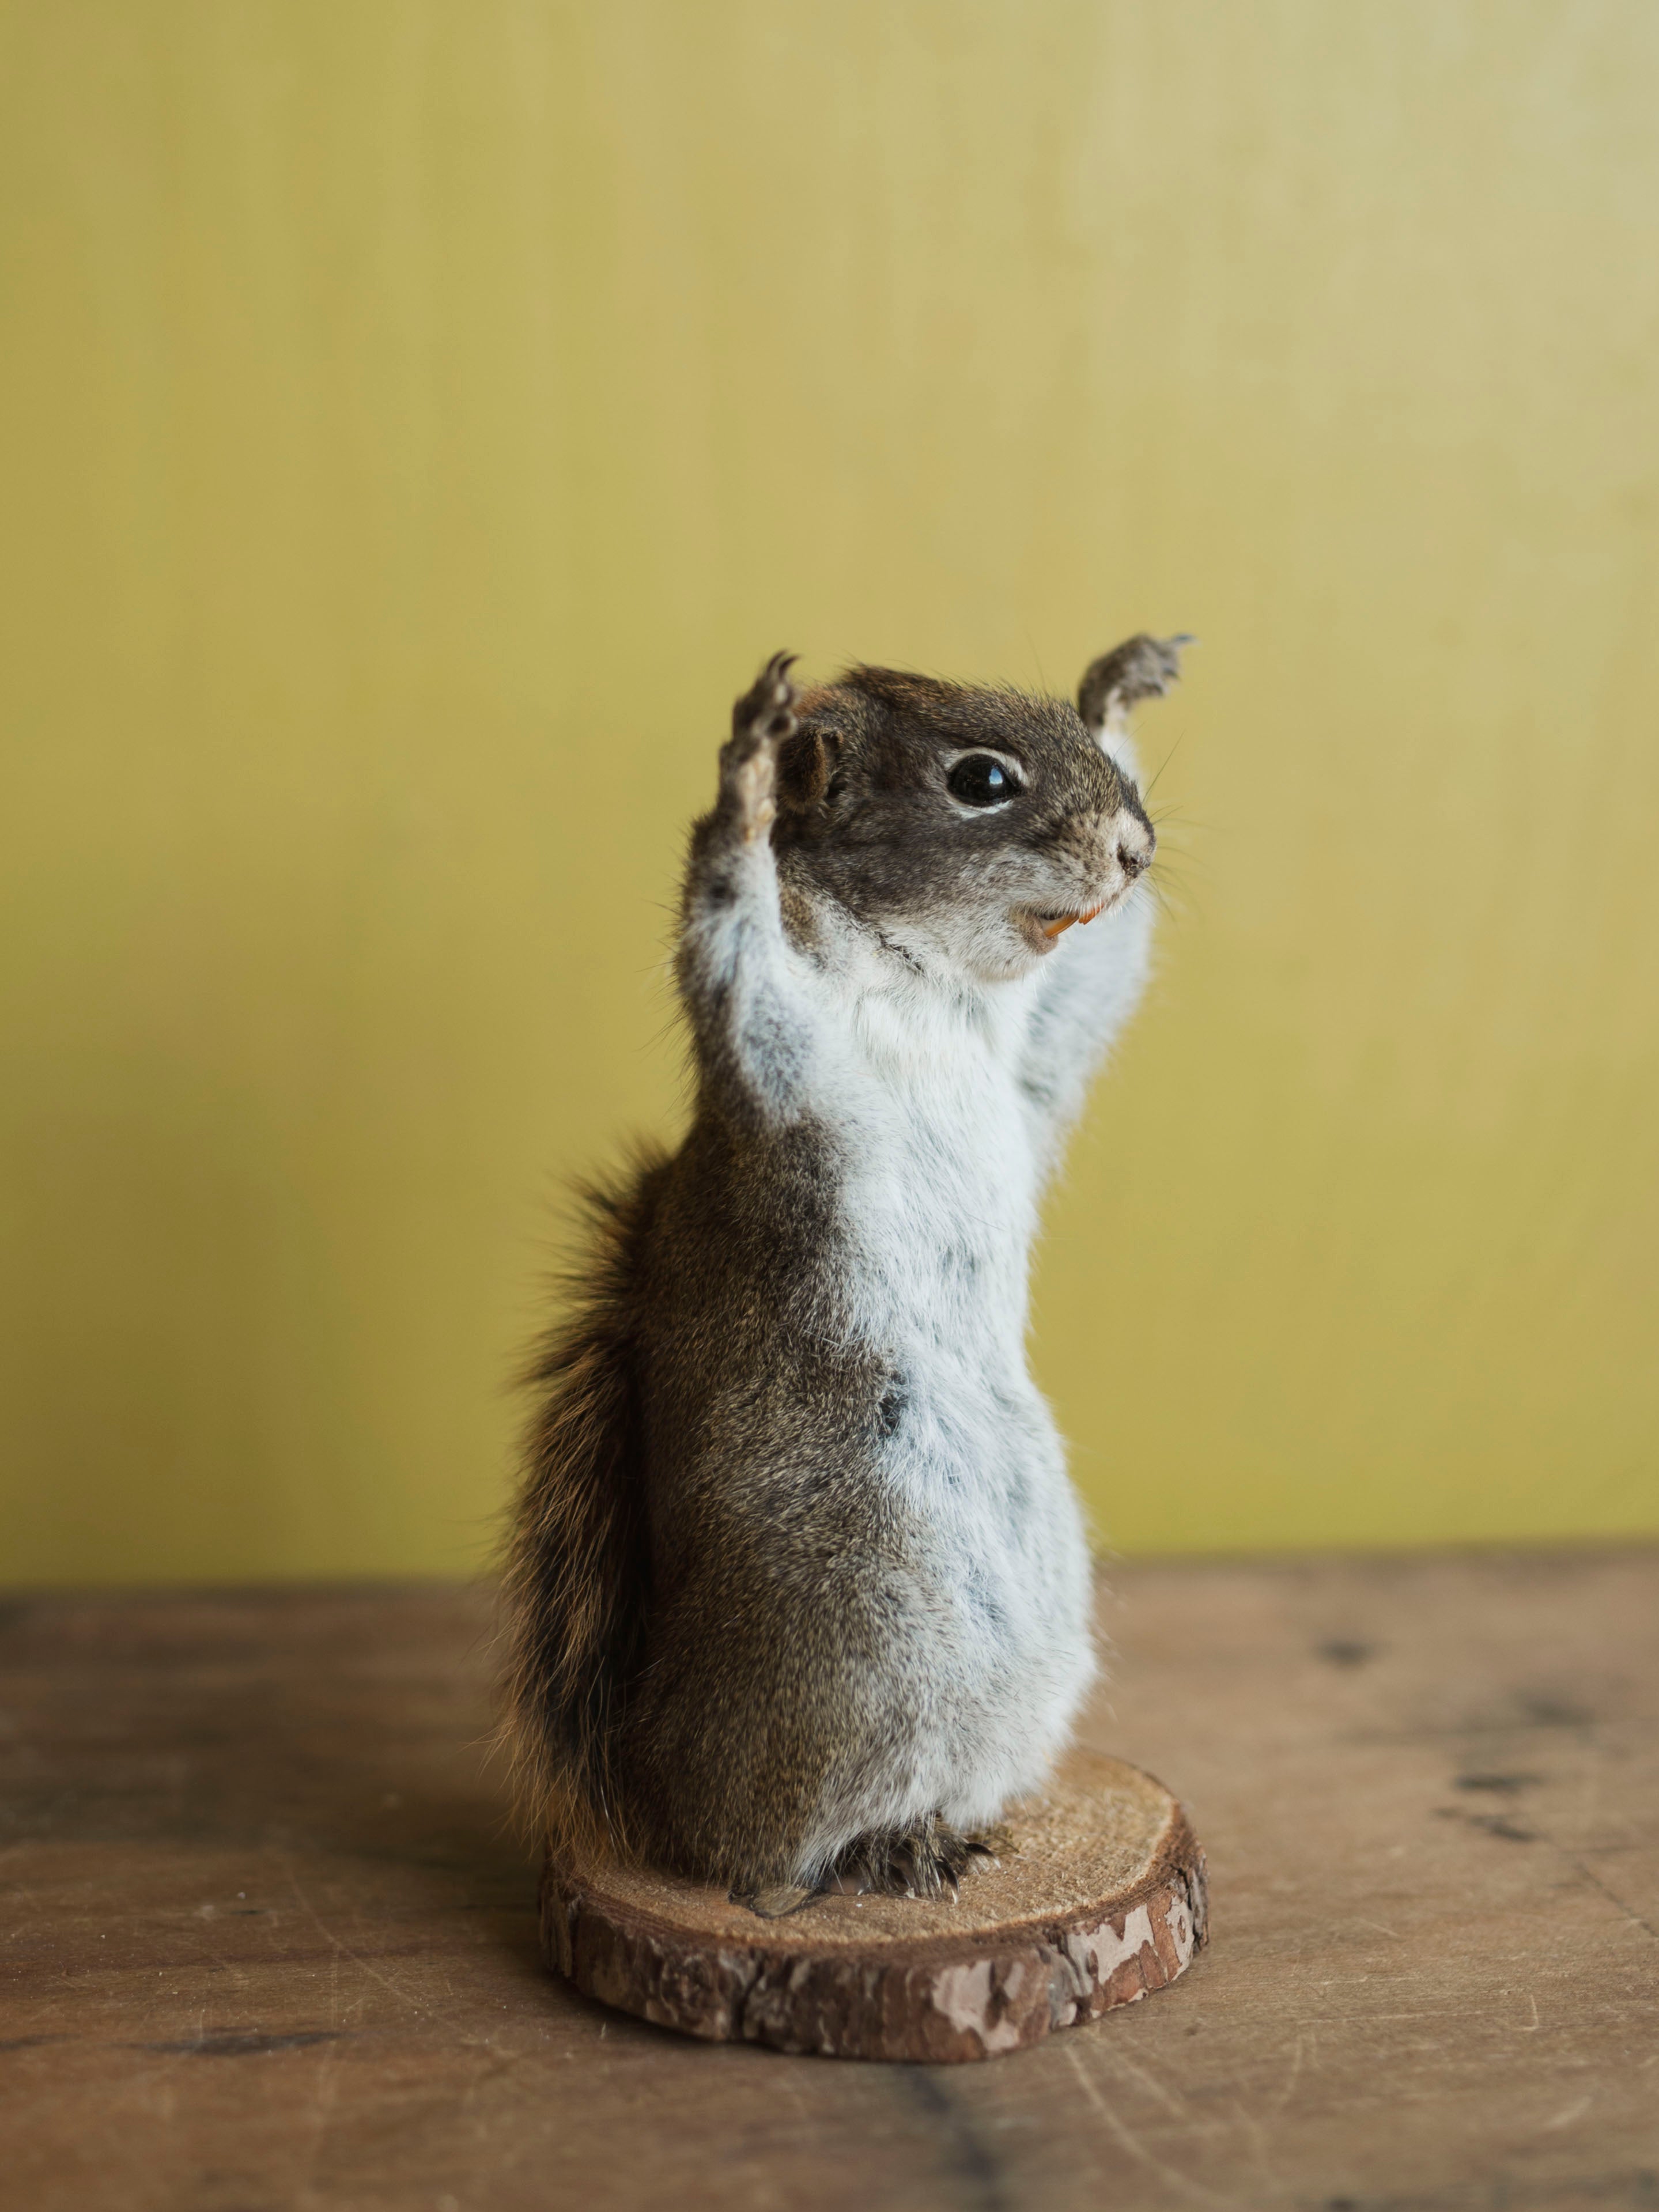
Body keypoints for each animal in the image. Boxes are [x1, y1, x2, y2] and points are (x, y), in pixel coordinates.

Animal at [503, 633, 1186, 1915]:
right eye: (979, 780)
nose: (1134, 848)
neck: (926, 983)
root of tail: (659, 1780)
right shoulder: (783, 1063)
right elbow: (731, 950)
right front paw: (740, 784)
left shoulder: (1027, 1059)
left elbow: (1091, 988)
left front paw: (1119, 688)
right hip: (850, 1641)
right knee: (759, 1857)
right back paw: (856, 1858)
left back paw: (963, 1826)